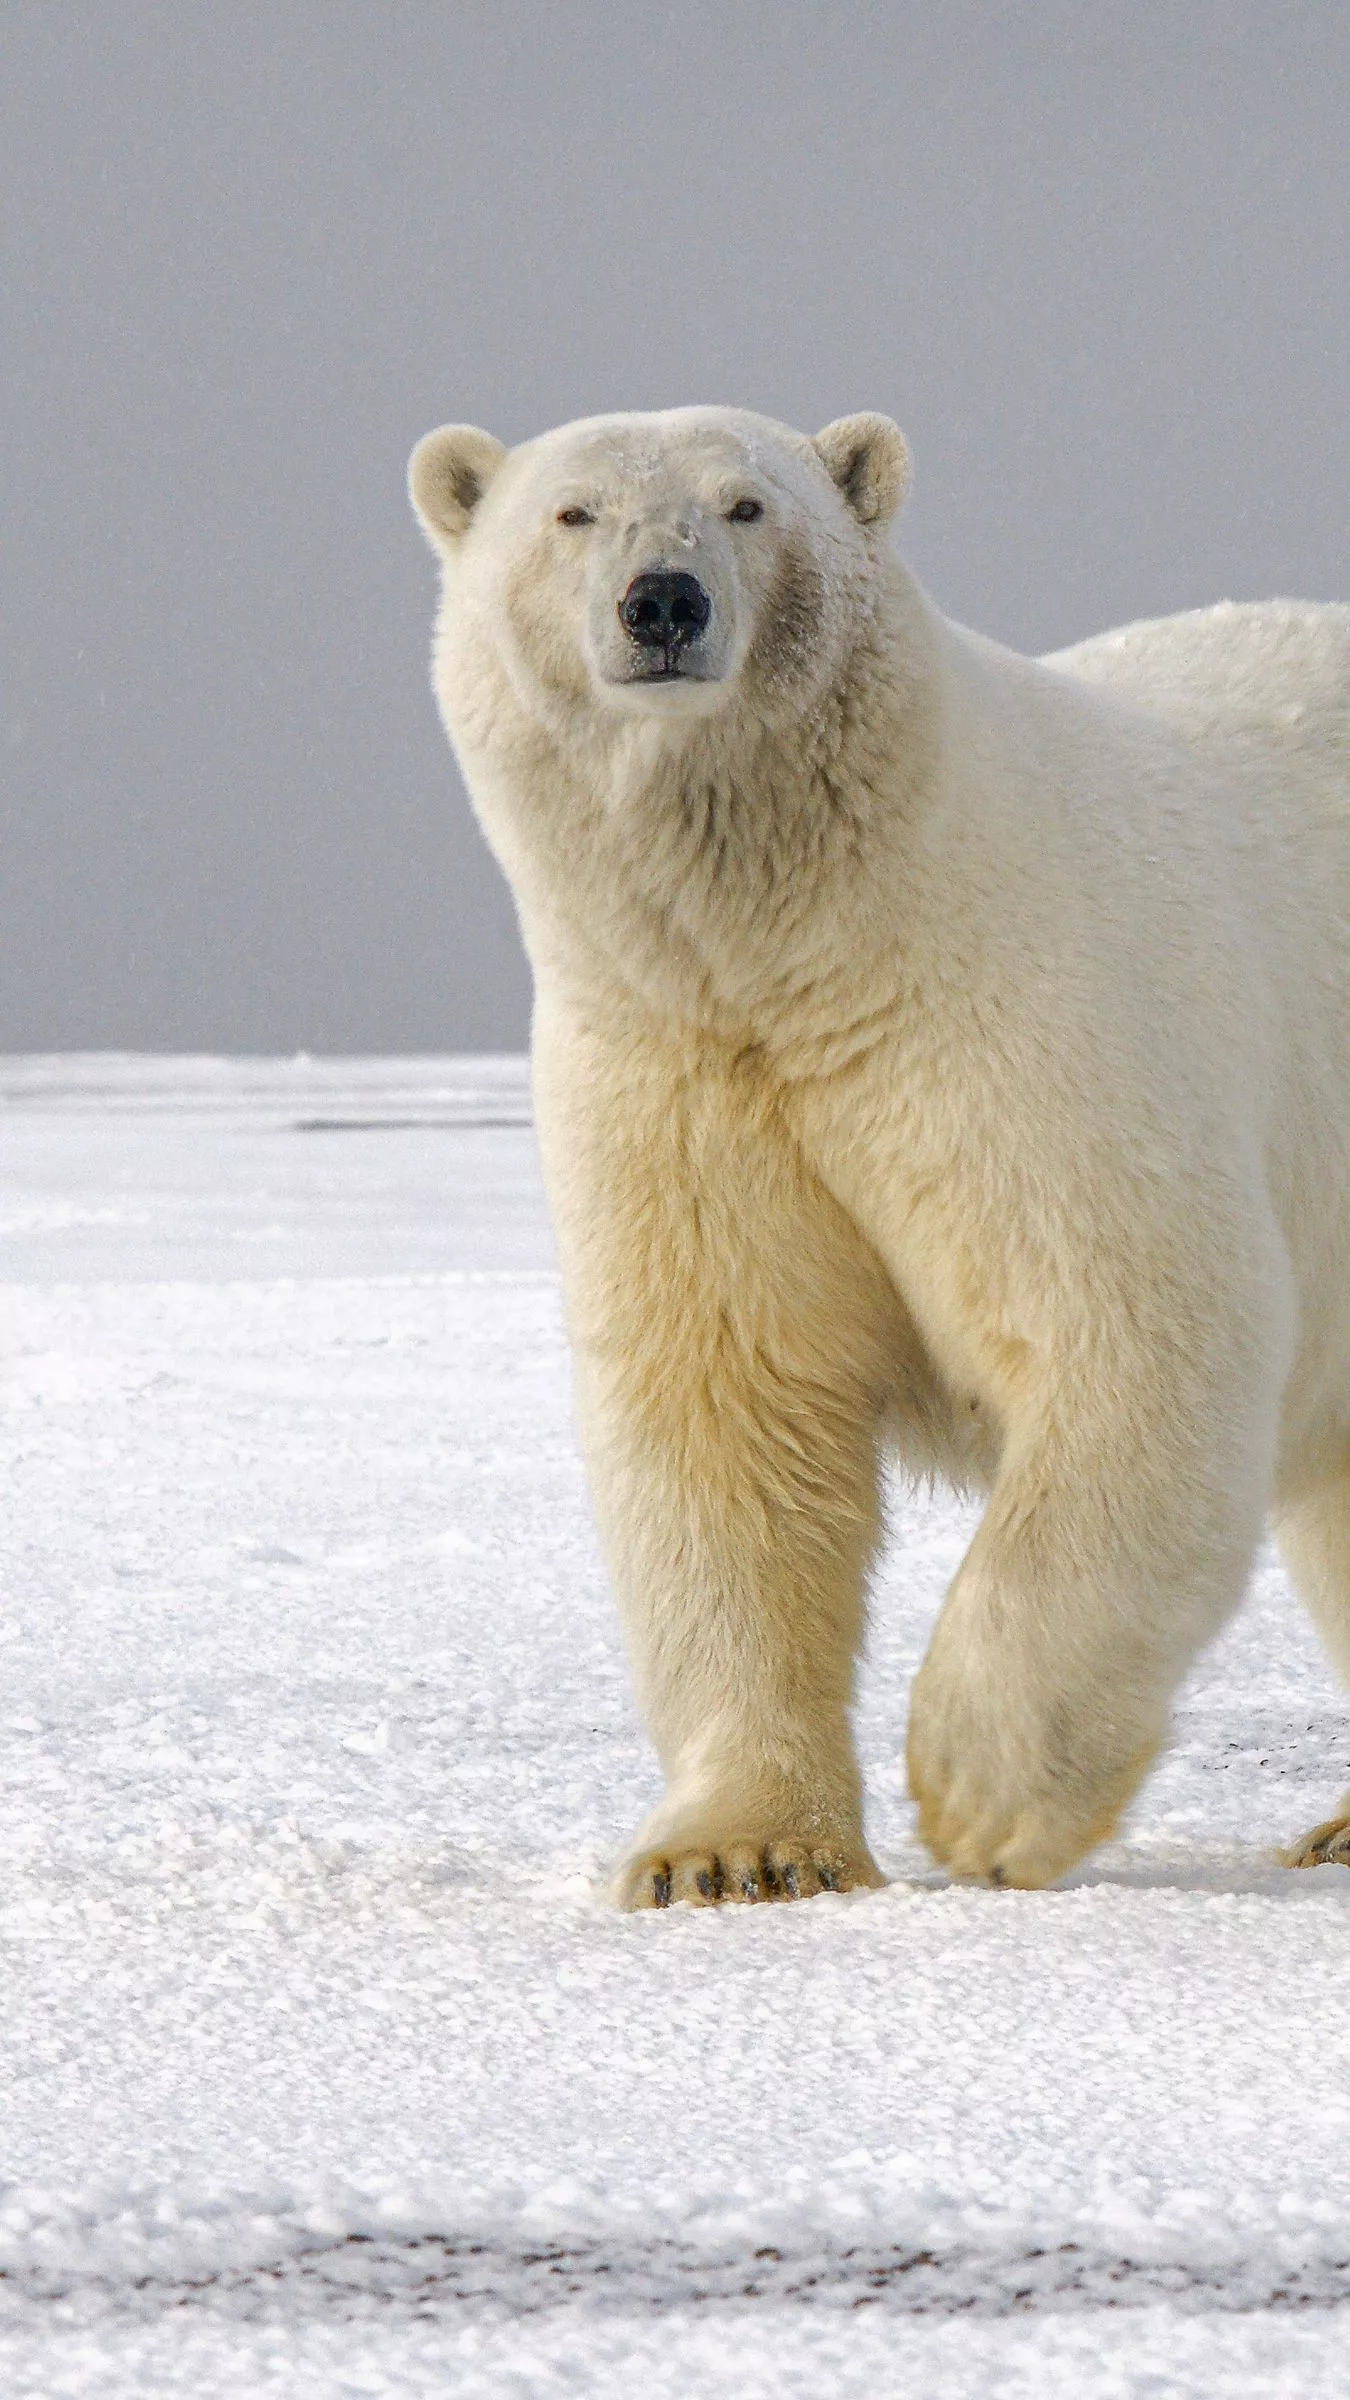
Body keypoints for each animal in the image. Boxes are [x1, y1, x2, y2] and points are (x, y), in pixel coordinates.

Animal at [409, 403, 1350, 1904]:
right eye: (572, 513)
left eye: (746, 505)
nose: (661, 602)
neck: (816, 940)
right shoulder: (679, 1072)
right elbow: (727, 1413)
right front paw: (731, 1854)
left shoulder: (1020, 1024)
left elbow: (1128, 1328)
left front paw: (980, 1794)